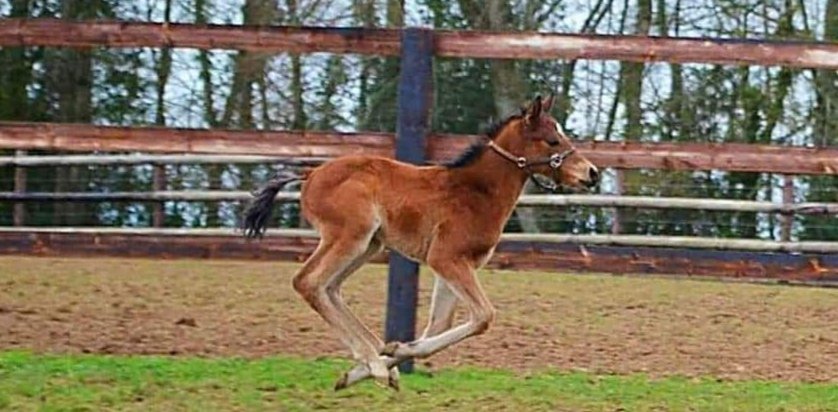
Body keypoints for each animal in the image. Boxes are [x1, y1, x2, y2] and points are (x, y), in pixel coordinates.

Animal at [242, 94, 599, 391]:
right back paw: (373, 362)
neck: (474, 192)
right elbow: (483, 316)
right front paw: (388, 357)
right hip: (350, 235)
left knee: (330, 288)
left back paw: (373, 359)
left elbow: (440, 323)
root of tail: (312, 173)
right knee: (309, 282)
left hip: (370, 244)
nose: (592, 173)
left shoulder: (457, 264)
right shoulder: (447, 258)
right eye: (553, 140)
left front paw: (384, 356)